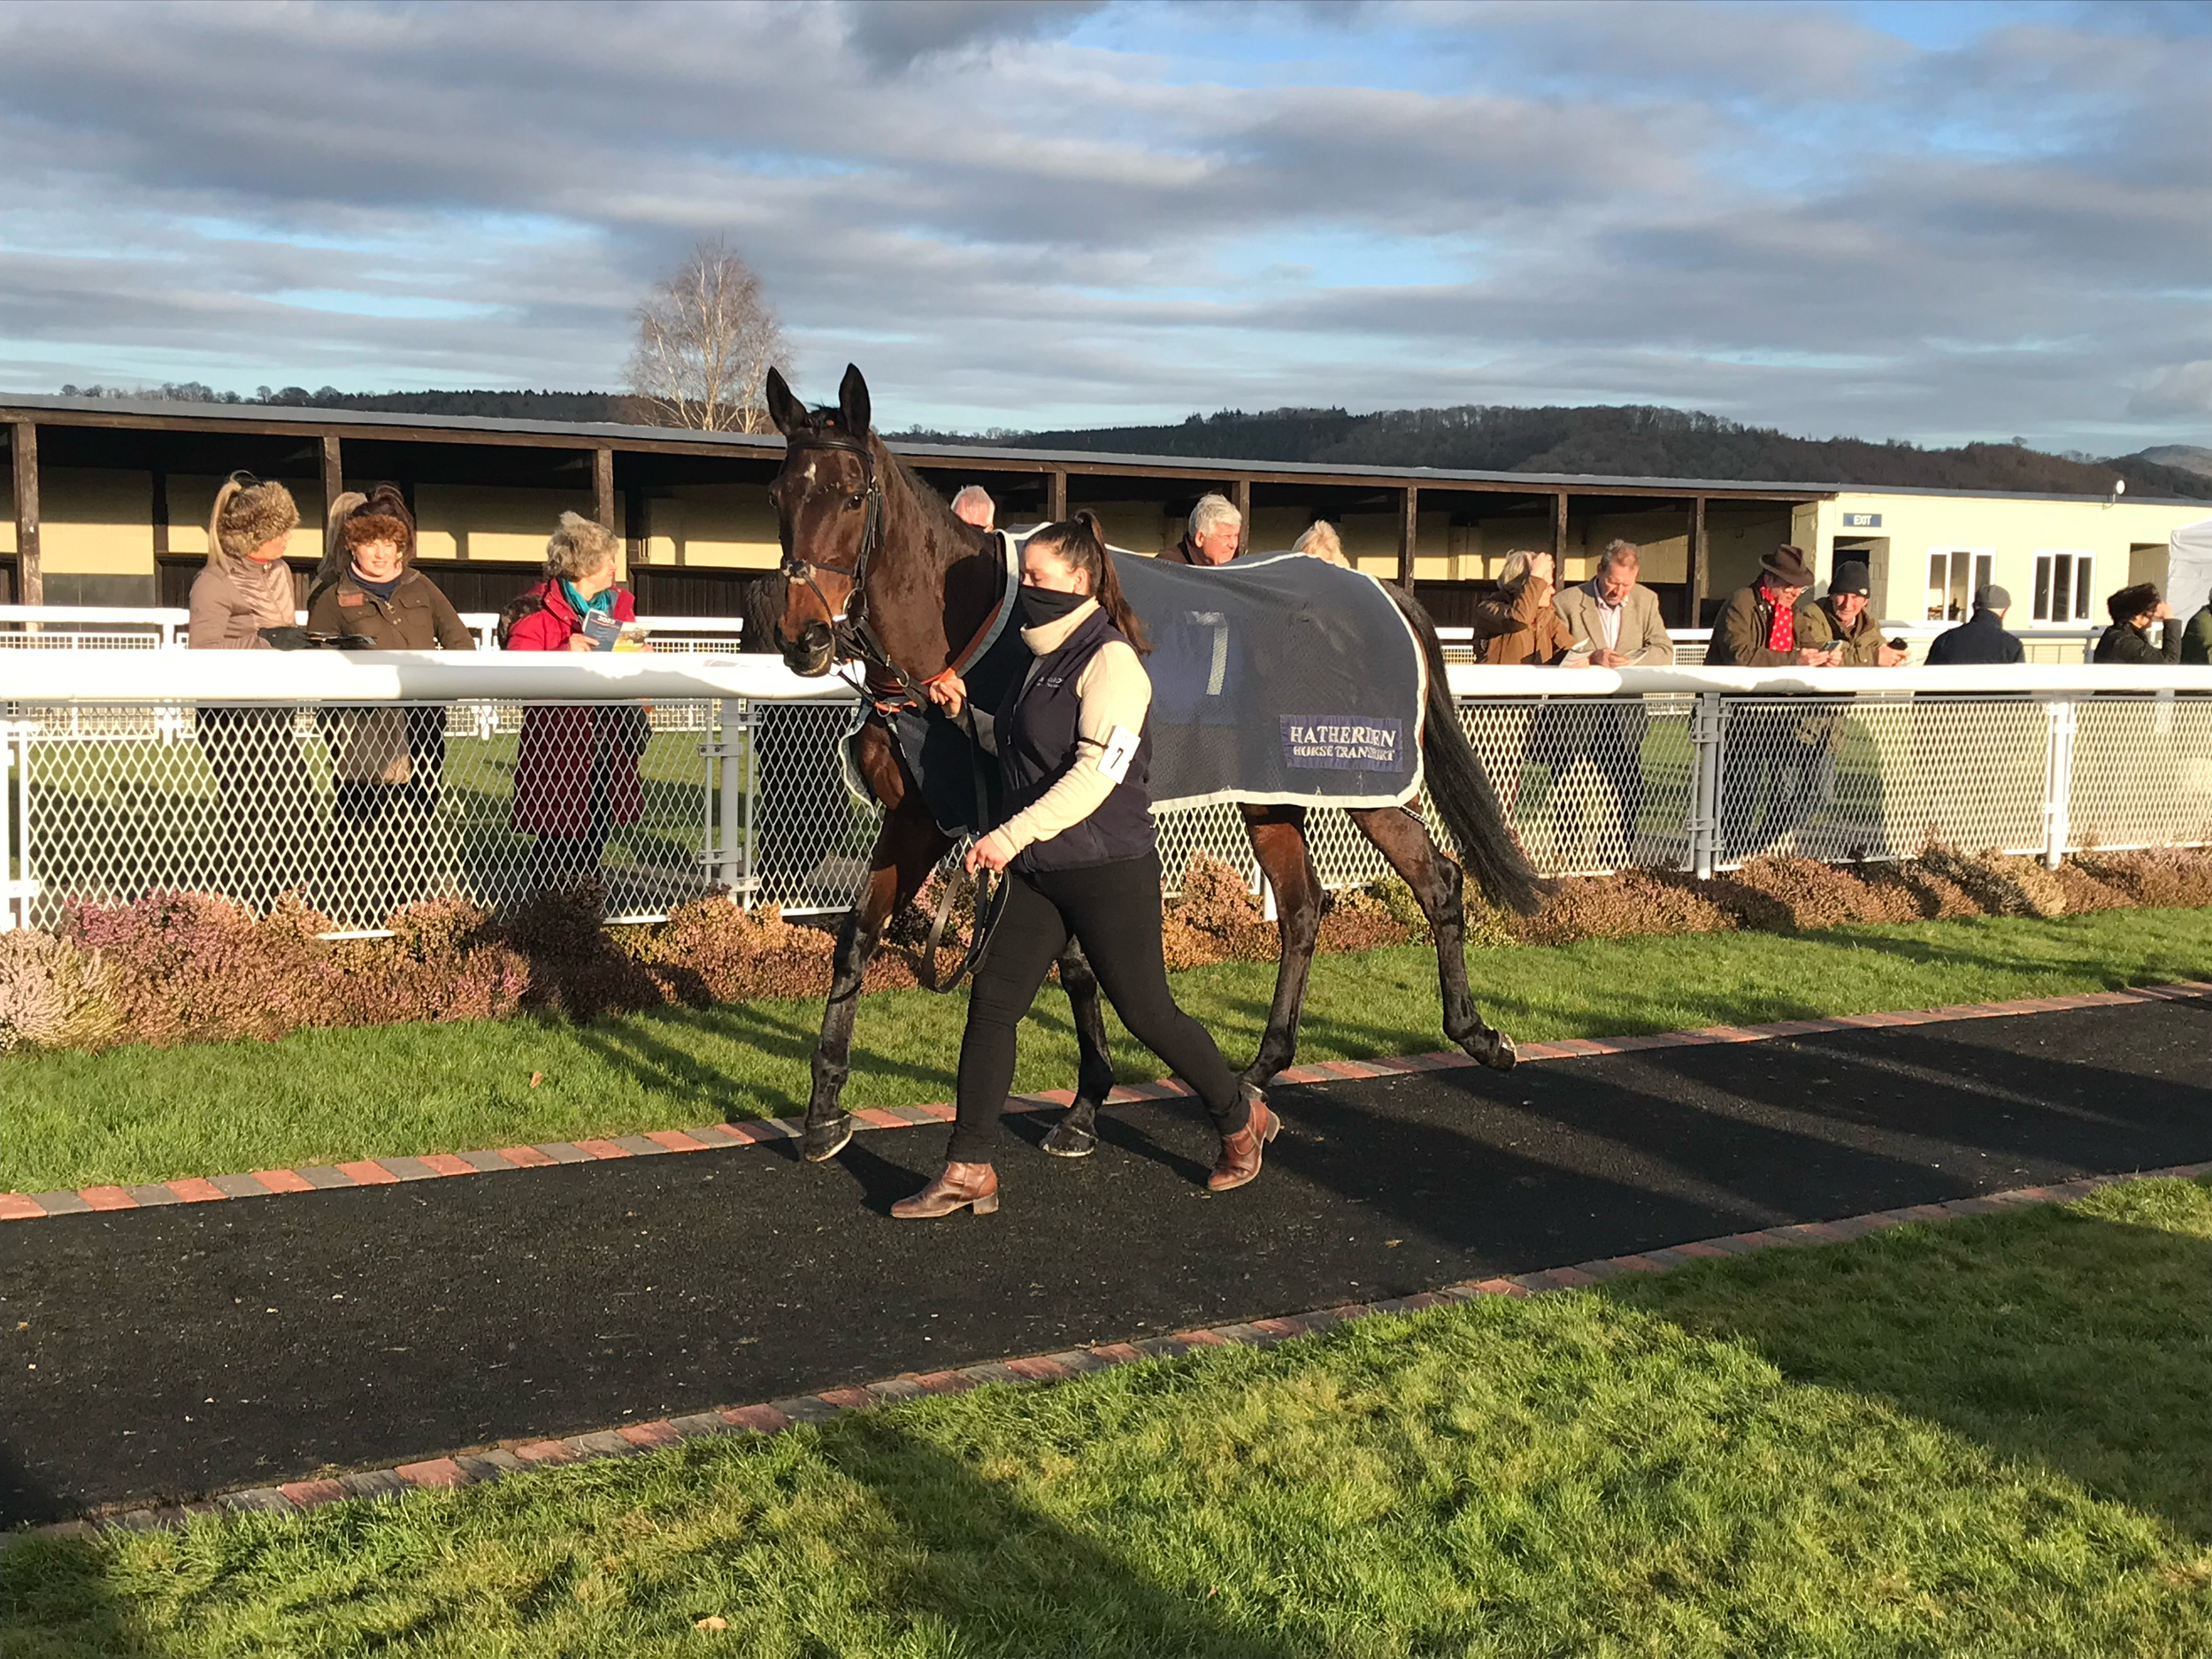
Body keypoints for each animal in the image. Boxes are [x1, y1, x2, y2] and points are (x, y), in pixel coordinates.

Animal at [763, 363, 1543, 1166]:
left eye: (852, 496)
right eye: (780, 495)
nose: (803, 636)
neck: (967, 634)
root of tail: (1380, 589)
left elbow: (1074, 960)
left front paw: (1085, 1104)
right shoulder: (919, 815)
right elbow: (857, 939)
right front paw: (824, 1110)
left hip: (1365, 779)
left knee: (1436, 877)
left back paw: (1479, 1034)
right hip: (1270, 791)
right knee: (1302, 907)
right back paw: (1260, 1069)